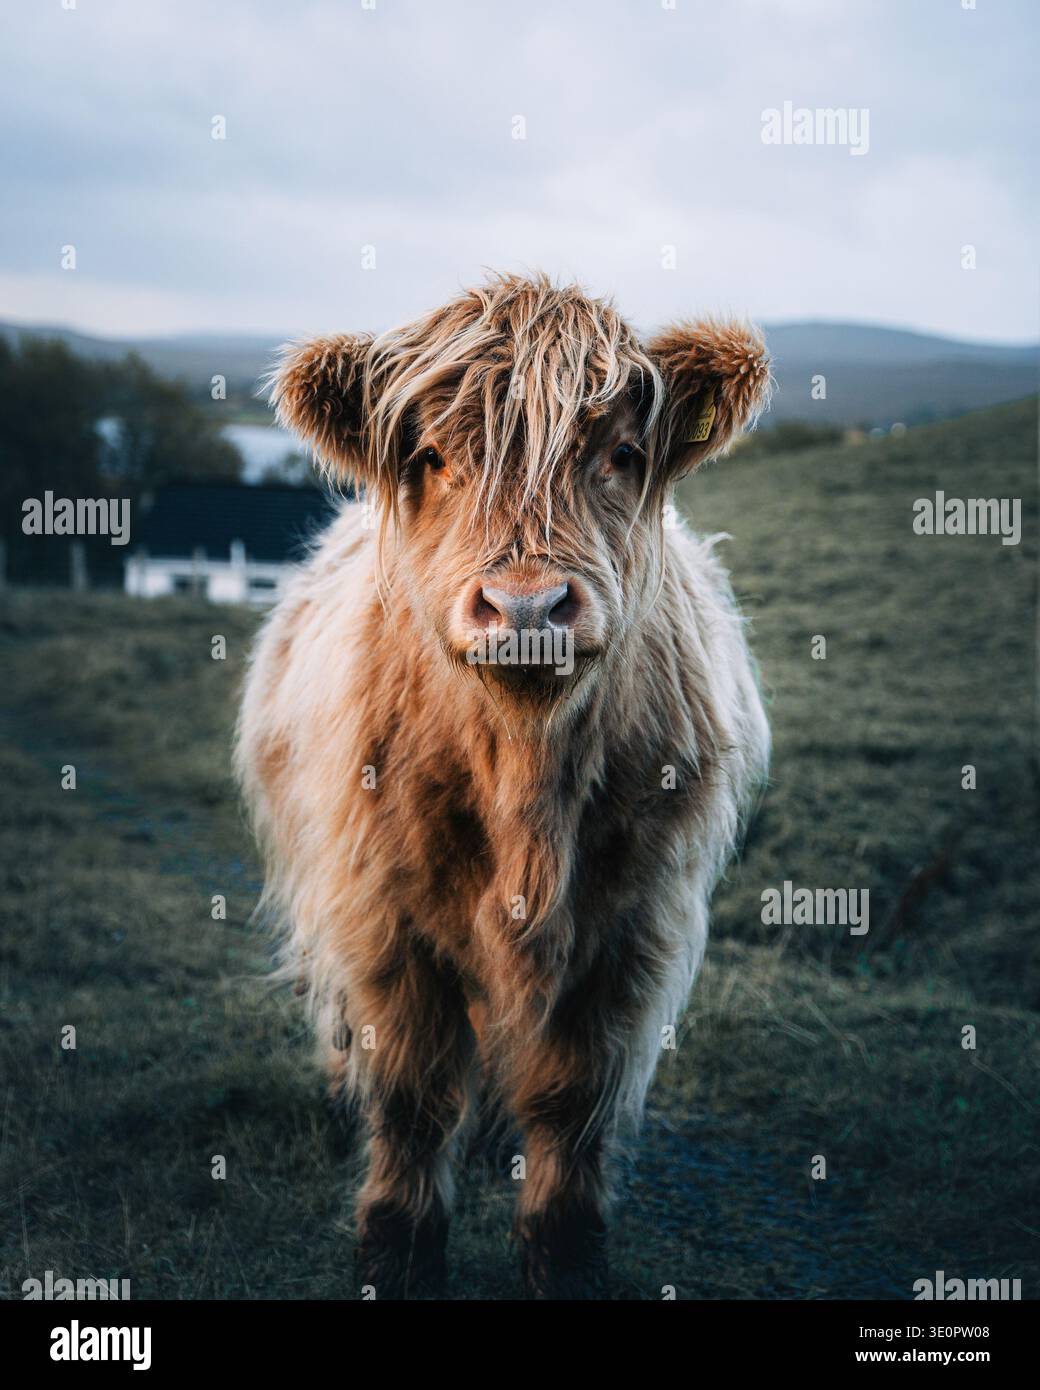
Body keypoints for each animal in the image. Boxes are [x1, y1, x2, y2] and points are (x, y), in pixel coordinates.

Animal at [235, 272, 771, 1299]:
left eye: (622, 453)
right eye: (434, 455)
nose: (526, 609)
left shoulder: (636, 930)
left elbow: (573, 1098)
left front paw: (564, 1255)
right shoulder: (382, 917)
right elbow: (411, 1090)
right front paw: (397, 1249)